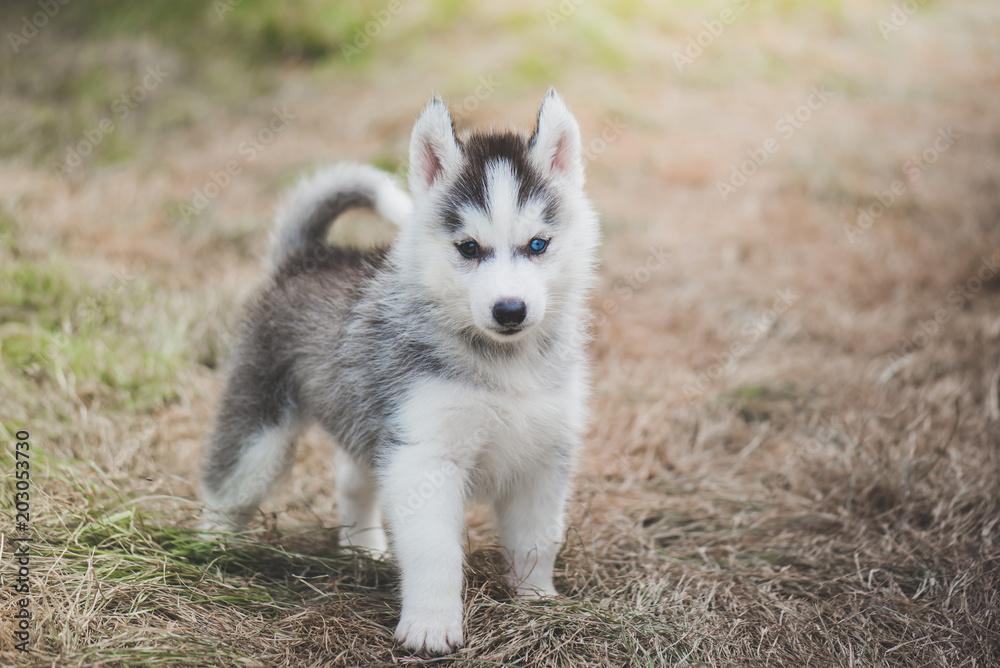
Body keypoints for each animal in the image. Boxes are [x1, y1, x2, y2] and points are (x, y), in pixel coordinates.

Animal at [199, 88, 596, 652]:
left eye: (537, 244)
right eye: (468, 247)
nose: (510, 310)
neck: (503, 364)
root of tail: (310, 255)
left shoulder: (543, 456)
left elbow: (537, 540)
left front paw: (537, 602)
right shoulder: (424, 456)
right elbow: (435, 550)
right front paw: (431, 626)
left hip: (365, 417)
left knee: (352, 479)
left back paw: (363, 548)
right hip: (259, 424)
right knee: (226, 482)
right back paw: (207, 551)